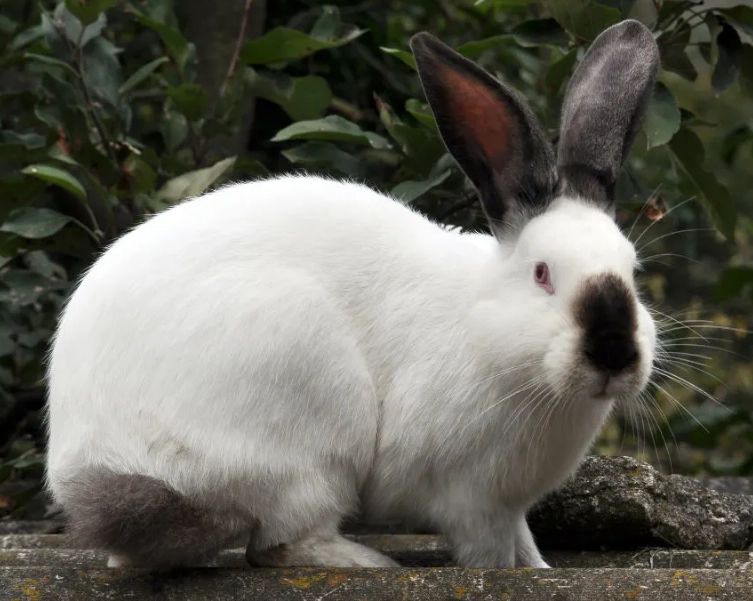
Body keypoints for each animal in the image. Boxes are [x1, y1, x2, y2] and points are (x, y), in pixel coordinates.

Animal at [45, 19, 660, 571]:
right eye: (542, 274)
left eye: (633, 270)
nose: (613, 352)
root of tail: (97, 460)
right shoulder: (471, 498)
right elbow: (488, 556)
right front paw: (509, 573)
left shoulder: (510, 508)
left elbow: (525, 543)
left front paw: (541, 568)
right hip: (306, 422)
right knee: (282, 544)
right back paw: (371, 563)